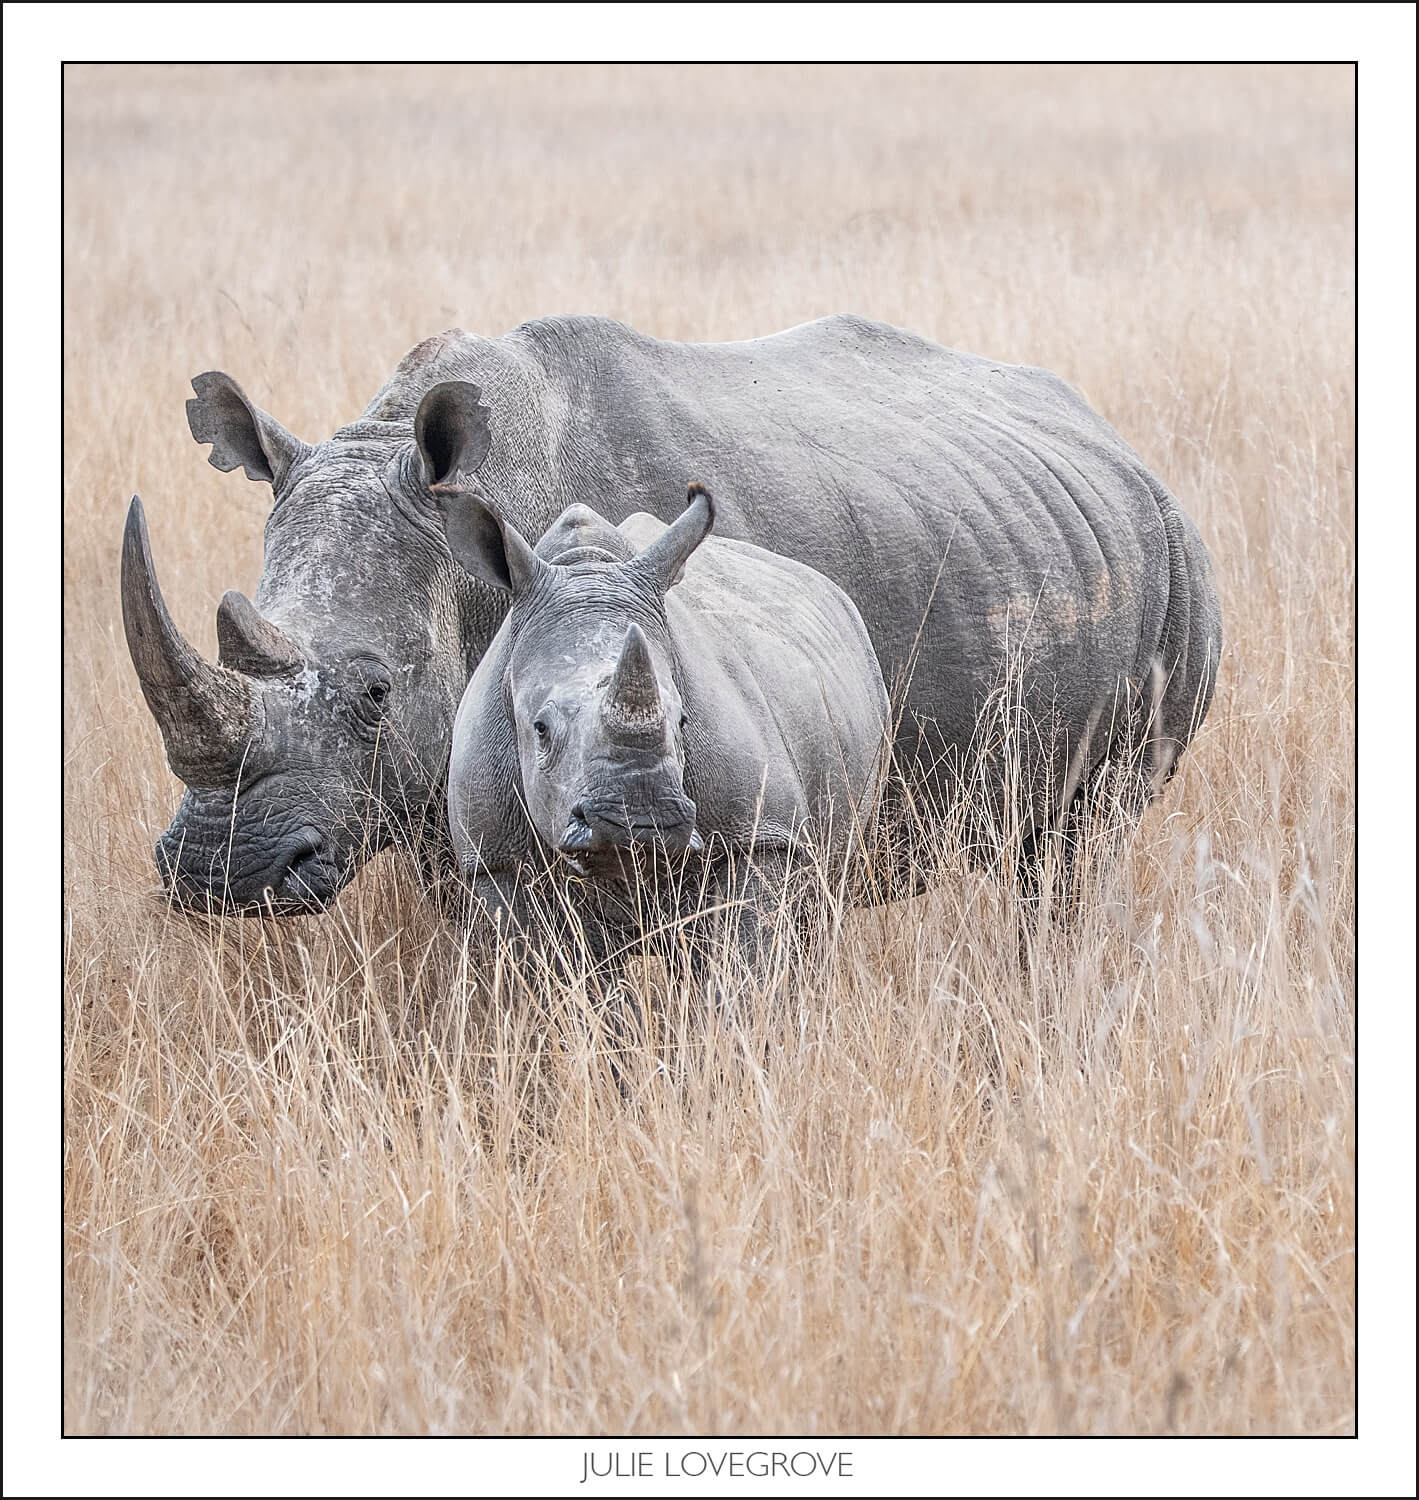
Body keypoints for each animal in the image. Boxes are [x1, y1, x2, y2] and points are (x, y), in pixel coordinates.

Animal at [439, 481, 888, 957]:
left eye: (684, 723)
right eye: (540, 729)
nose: (639, 823)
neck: (585, 567)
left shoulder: (762, 834)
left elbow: (746, 950)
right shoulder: (492, 861)